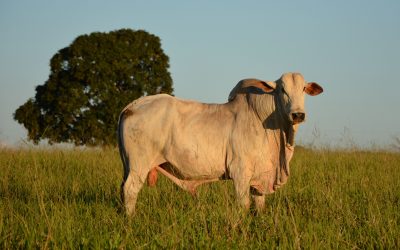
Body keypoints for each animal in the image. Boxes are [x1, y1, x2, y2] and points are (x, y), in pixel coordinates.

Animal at [118, 72, 322, 215]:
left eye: (303, 89)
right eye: (282, 90)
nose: (298, 114)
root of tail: (132, 106)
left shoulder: (259, 177)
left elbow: (259, 204)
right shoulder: (240, 172)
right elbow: (243, 205)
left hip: (129, 166)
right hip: (138, 165)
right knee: (130, 190)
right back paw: (131, 219)